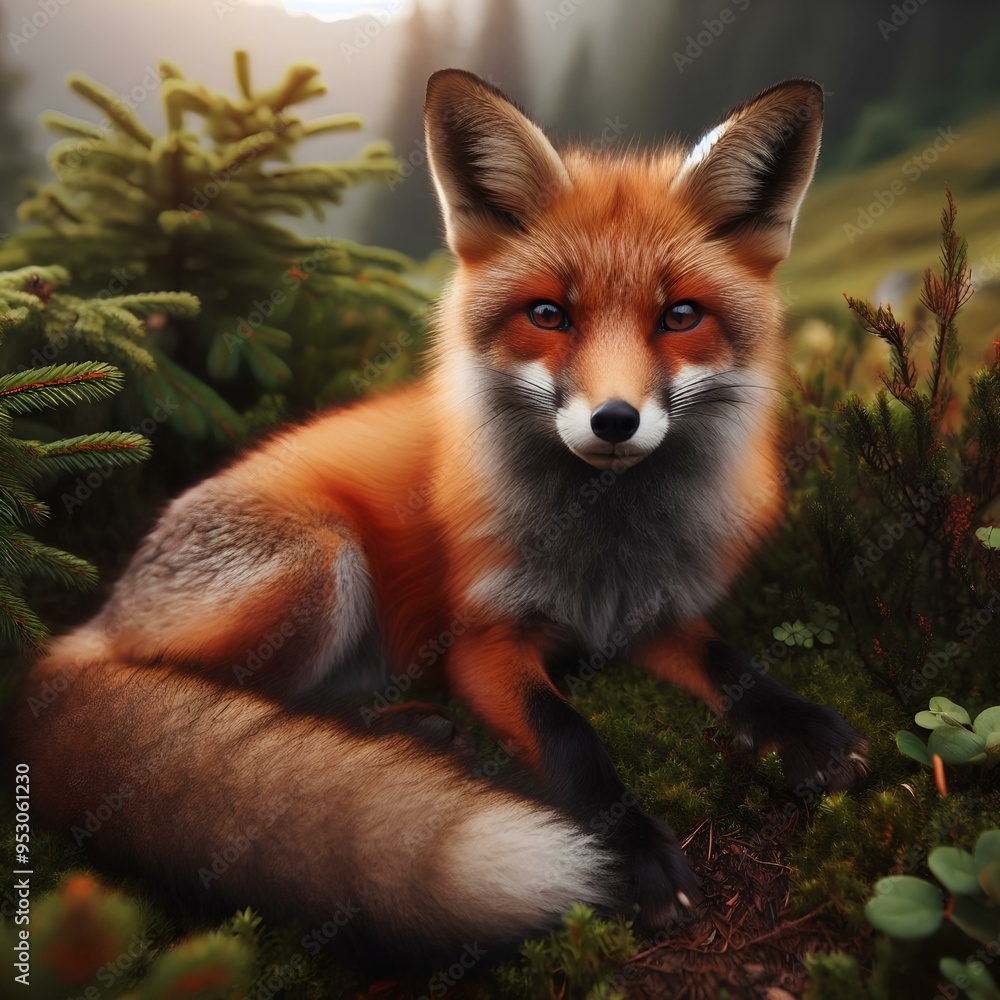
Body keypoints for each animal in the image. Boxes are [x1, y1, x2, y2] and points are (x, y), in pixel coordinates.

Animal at [10, 69, 869, 965]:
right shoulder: (483, 645)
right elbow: (569, 735)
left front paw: (801, 728)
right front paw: (633, 855)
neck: (606, 551)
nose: (614, 421)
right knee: (211, 704)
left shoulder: (650, 615)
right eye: (549, 315)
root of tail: (91, 625)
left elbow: (735, 663)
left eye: (680, 316)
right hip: (321, 561)